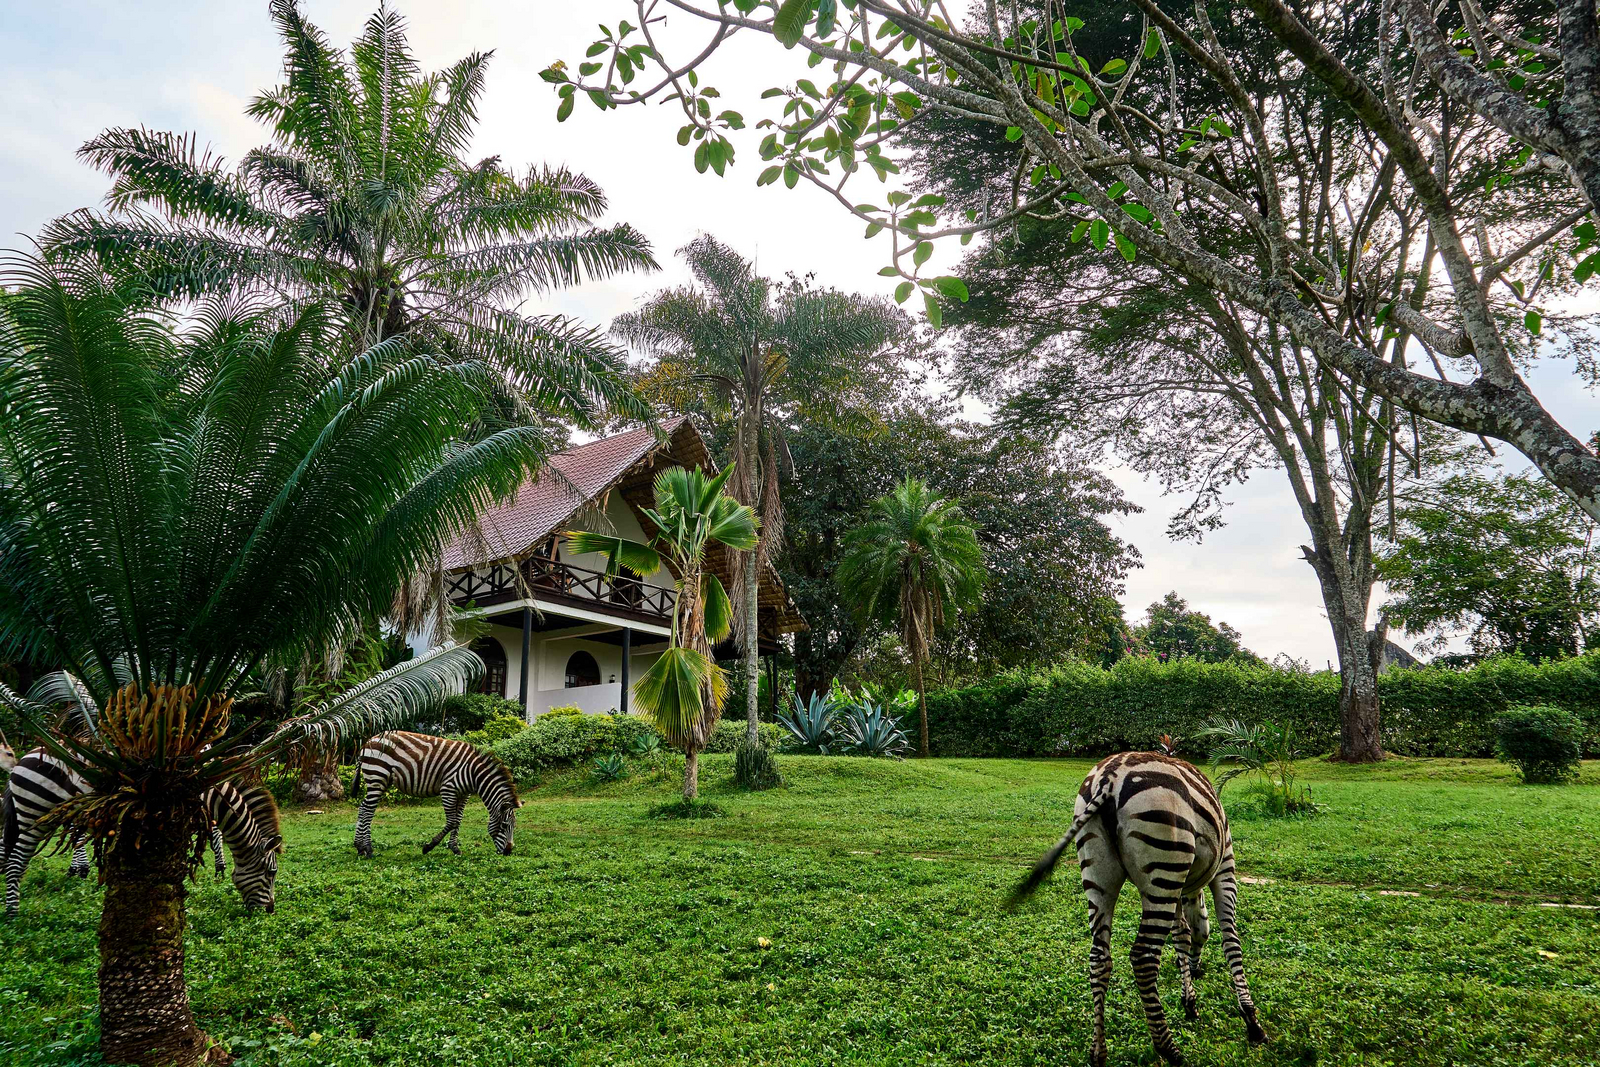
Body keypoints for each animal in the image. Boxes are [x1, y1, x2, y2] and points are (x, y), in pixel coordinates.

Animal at [2, 747, 263, 917]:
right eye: (269, 873)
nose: (266, 911)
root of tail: (22, 759)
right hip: (35, 812)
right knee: (17, 859)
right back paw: (13, 913)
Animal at [352, 731, 520, 858]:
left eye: (514, 826)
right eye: (504, 826)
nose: (508, 852)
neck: (473, 773)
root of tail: (367, 742)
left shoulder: (464, 794)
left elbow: (458, 820)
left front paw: (455, 848)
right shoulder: (448, 790)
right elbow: (452, 821)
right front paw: (428, 847)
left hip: (380, 781)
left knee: (363, 808)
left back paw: (359, 847)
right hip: (377, 776)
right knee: (368, 811)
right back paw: (368, 849)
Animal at [1008, 751, 1266, 1067]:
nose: (1198, 970)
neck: (1191, 891)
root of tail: (1108, 779)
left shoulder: (1178, 890)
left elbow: (1182, 935)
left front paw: (1189, 1001)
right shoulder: (1225, 866)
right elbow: (1230, 940)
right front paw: (1251, 1020)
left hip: (1100, 873)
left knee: (1099, 957)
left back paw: (1098, 1052)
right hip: (1163, 865)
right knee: (1143, 956)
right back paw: (1169, 1049)